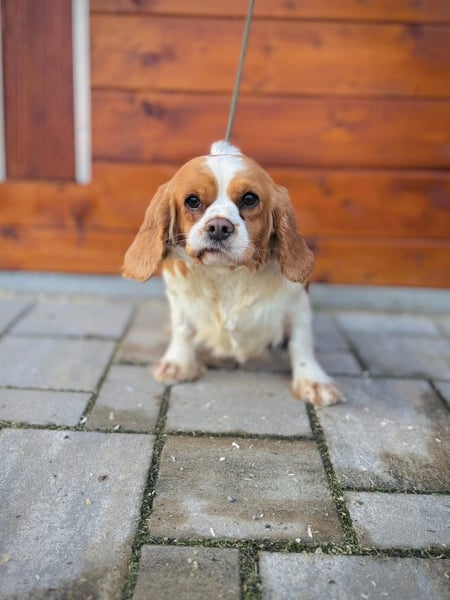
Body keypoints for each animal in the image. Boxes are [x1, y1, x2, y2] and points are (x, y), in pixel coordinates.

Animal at [123, 141, 342, 406]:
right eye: (192, 201)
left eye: (249, 199)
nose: (219, 227)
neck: (226, 274)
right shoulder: (178, 296)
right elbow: (183, 328)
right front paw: (178, 363)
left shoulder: (297, 304)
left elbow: (301, 342)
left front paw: (312, 380)